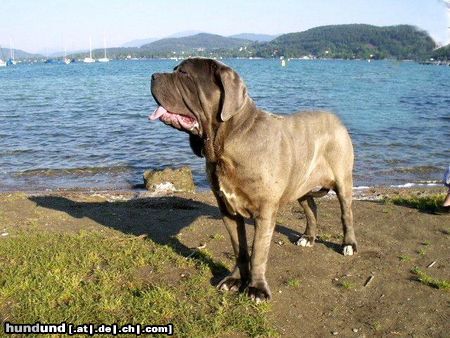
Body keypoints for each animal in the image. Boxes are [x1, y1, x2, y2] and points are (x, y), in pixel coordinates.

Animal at [149, 57, 356, 302]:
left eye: (183, 74)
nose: (153, 75)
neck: (227, 141)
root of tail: (336, 120)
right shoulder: (227, 209)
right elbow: (239, 247)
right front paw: (236, 280)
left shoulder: (264, 211)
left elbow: (258, 251)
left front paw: (257, 288)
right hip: (301, 184)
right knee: (311, 207)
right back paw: (308, 237)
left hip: (343, 181)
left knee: (346, 214)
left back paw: (349, 245)